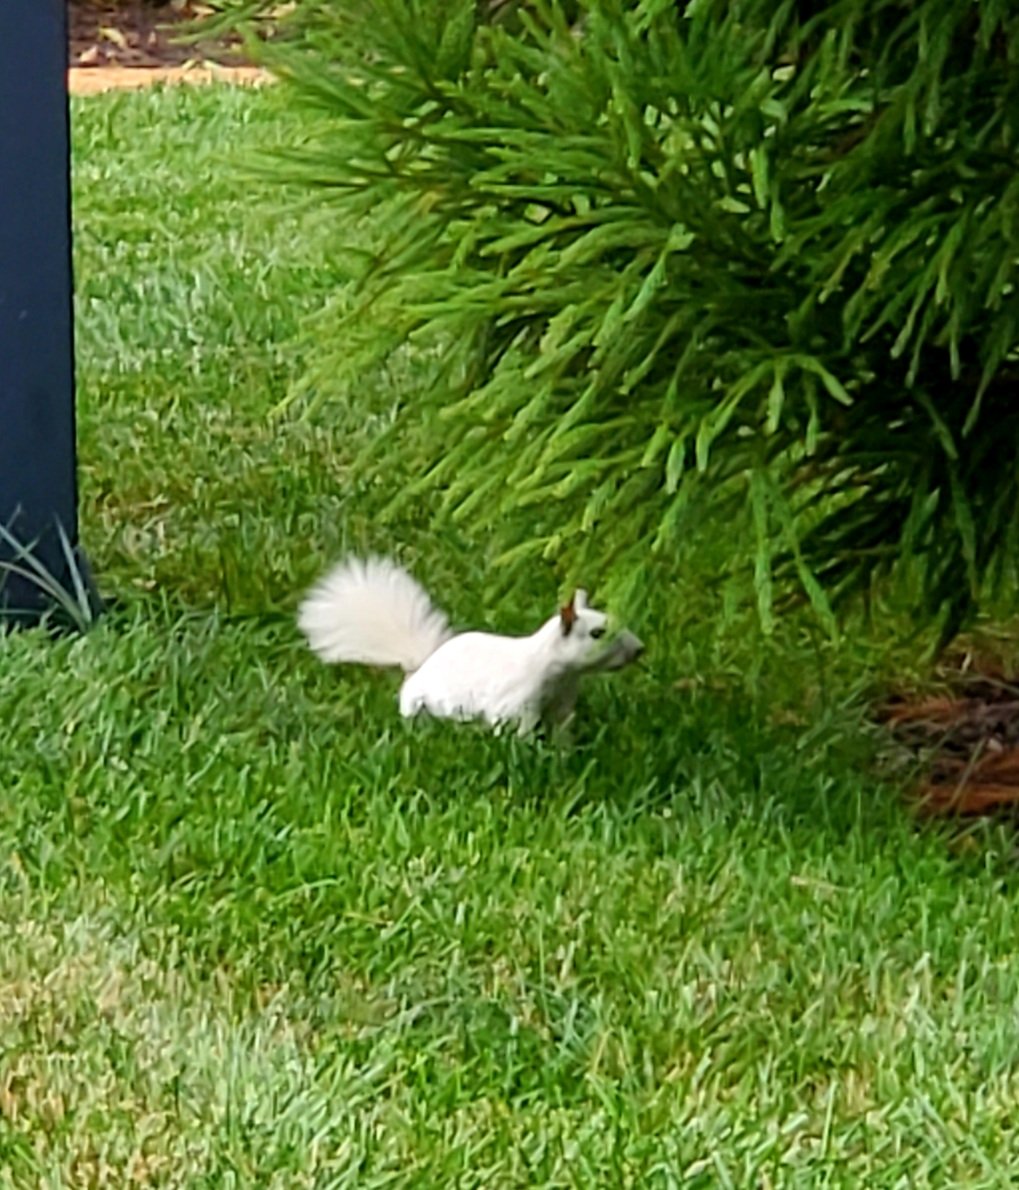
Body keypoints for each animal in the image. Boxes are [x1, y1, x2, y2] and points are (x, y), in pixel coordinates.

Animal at [298, 555, 644, 734]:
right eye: (597, 633)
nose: (639, 649)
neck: (557, 672)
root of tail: (421, 666)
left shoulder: (563, 703)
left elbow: (562, 729)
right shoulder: (516, 703)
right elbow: (517, 730)